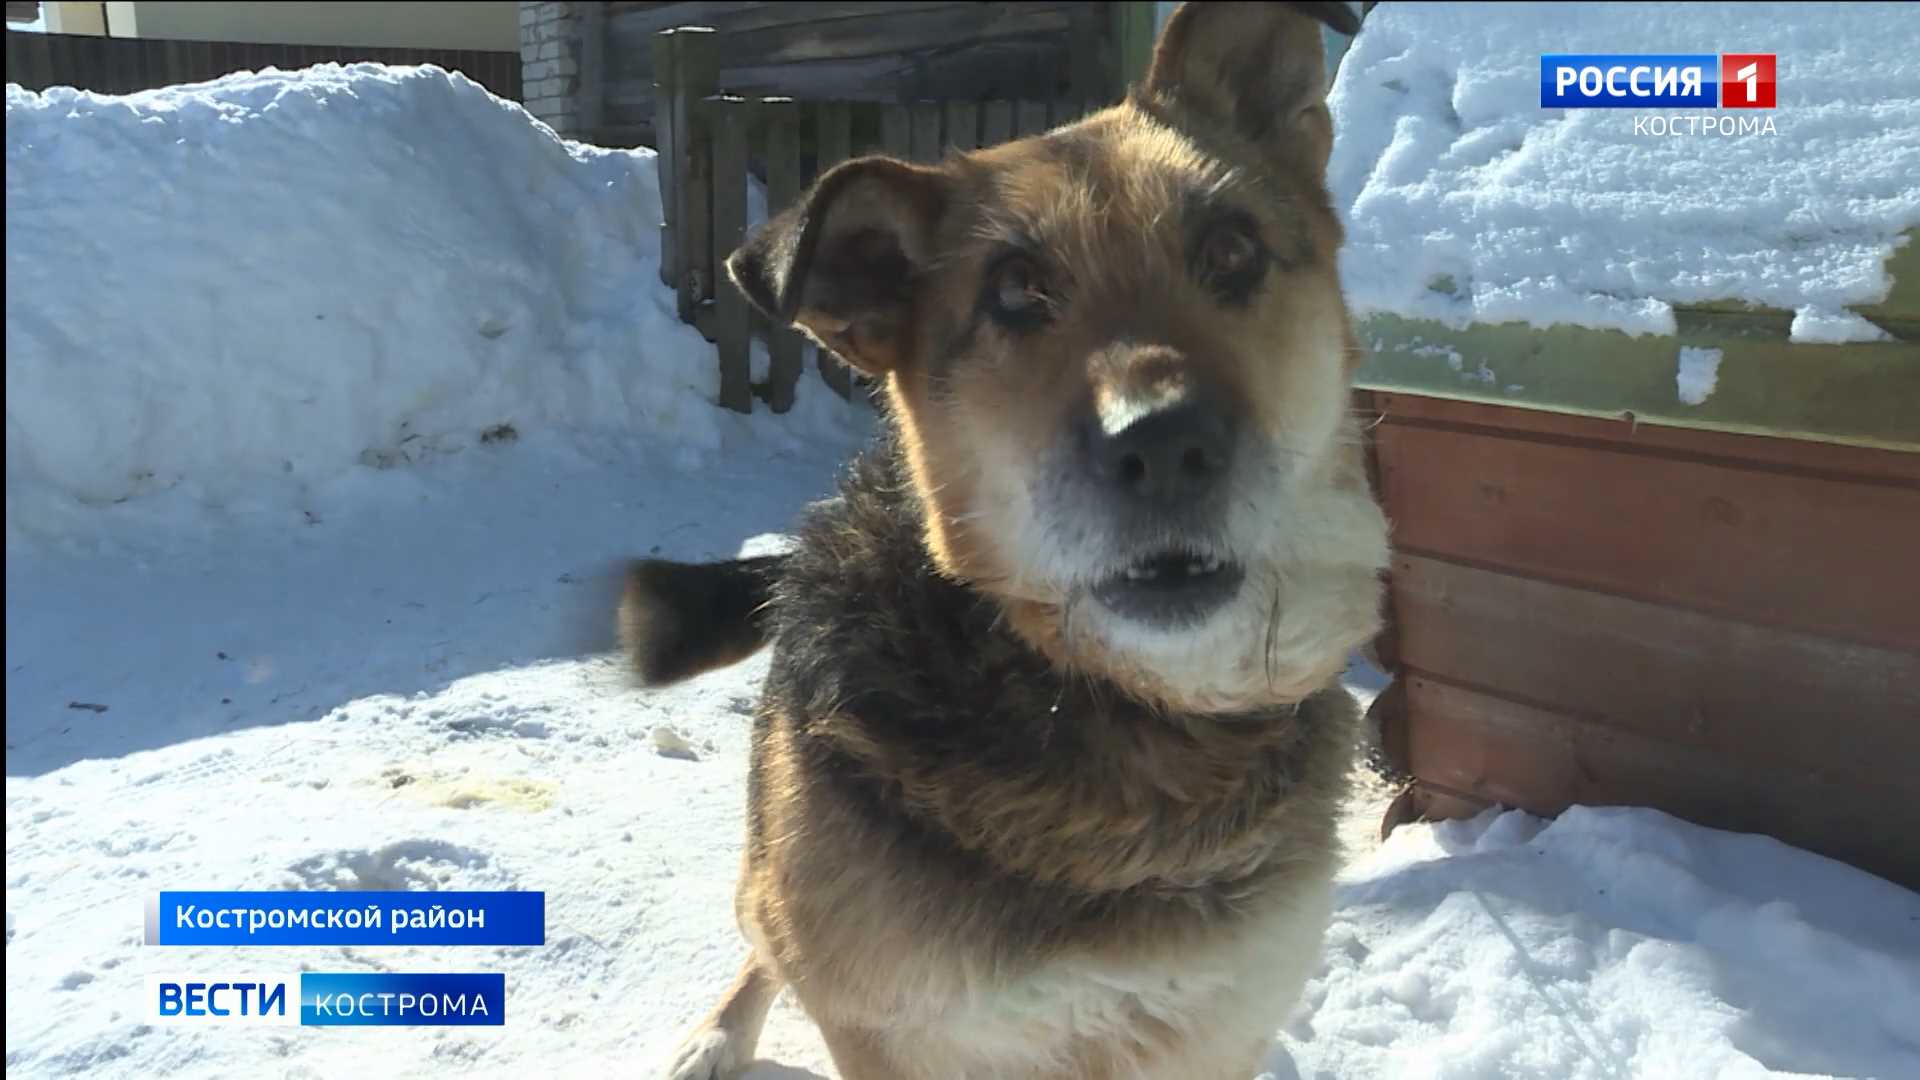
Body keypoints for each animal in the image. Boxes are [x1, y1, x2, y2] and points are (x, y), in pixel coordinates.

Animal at [629, 4, 1397, 1068]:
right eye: (1014, 288)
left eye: (1234, 250)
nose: (1165, 445)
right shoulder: (885, 1027)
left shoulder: (1217, 1025)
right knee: (763, 930)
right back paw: (715, 1035)